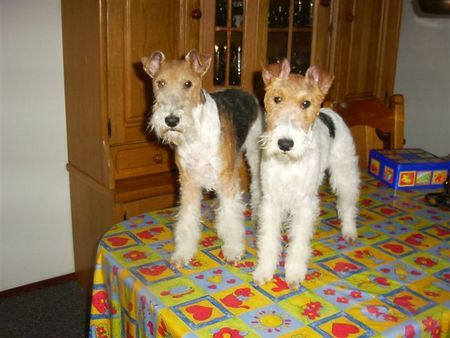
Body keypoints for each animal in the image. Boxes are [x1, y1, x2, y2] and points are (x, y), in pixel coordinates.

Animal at [142, 49, 264, 266]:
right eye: (160, 83)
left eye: (188, 83)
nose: (171, 120)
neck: (195, 133)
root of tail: (247, 93)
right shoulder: (188, 181)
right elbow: (187, 218)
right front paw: (183, 253)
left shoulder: (225, 178)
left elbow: (231, 216)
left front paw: (233, 249)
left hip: (253, 153)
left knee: (256, 185)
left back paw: (256, 215)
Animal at [251, 58, 360, 288]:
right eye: (277, 98)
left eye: (306, 104)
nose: (285, 143)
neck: (288, 164)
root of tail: (329, 111)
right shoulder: (271, 200)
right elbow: (268, 239)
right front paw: (264, 271)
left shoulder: (304, 203)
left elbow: (299, 242)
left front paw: (293, 273)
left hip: (344, 173)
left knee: (347, 204)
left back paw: (349, 231)